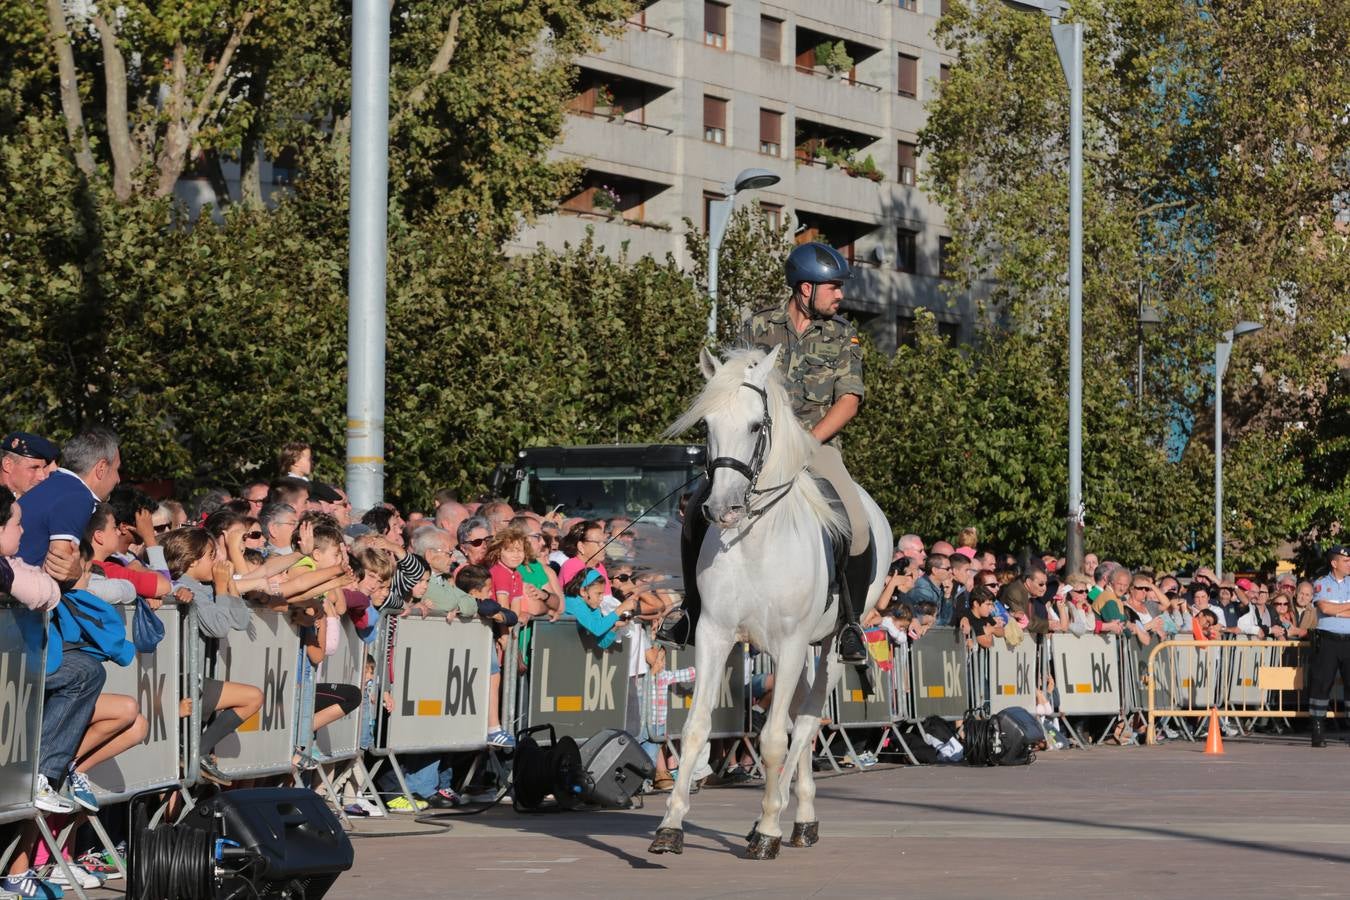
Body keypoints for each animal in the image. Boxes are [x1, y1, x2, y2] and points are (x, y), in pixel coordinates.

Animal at [648, 345, 891, 858]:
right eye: (707, 425)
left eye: (757, 425)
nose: (722, 509)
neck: (756, 539)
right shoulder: (715, 635)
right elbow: (697, 728)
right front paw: (670, 826)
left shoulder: (794, 642)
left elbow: (777, 738)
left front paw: (766, 830)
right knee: (799, 715)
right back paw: (798, 817)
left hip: (828, 646)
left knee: (807, 719)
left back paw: (789, 817)